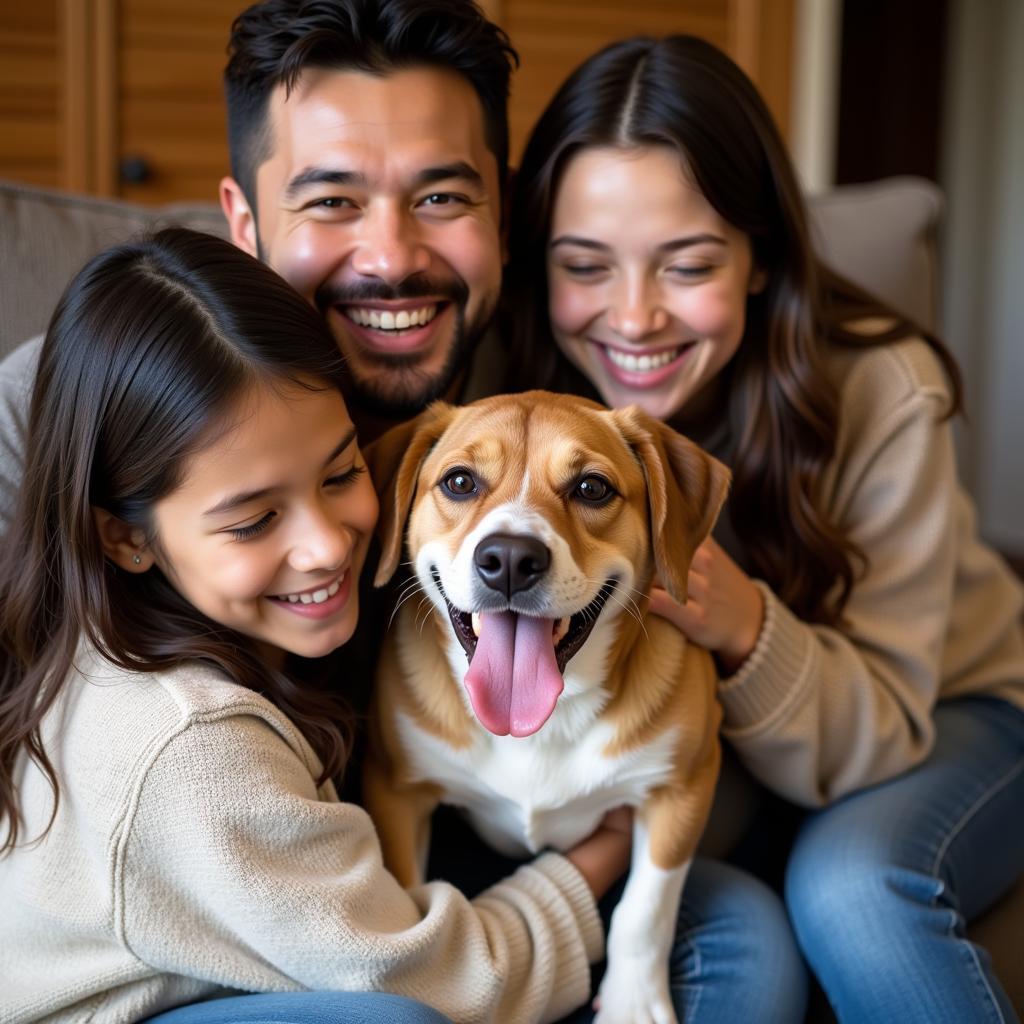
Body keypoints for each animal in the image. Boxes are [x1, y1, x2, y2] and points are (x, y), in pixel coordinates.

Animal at [364, 391, 733, 1024]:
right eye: (459, 481)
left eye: (592, 488)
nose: (511, 558)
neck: (541, 726)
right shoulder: (395, 790)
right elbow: (411, 898)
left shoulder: (684, 784)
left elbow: (645, 909)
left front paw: (633, 1002)